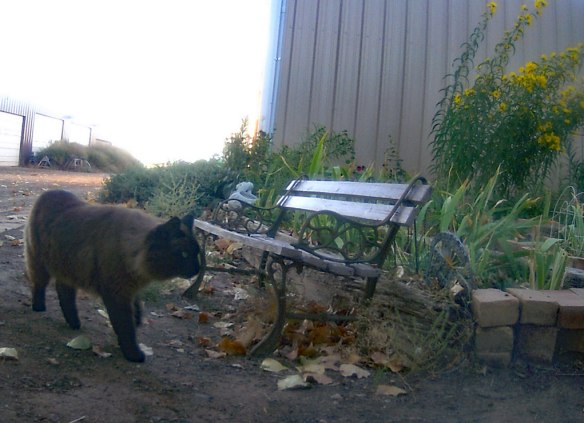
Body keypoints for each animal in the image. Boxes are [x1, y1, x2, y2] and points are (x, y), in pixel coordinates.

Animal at [25, 189, 200, 362]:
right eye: (184, 254)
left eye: (196, 253)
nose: (197, 269)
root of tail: (48, 193)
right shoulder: (117, 295)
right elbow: (126, 328)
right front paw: (134, 354)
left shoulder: (129, 290)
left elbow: (137, 308)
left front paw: (137, 320)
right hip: (41, 264)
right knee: (39, 285)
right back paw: (39, 307)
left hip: (68, 269)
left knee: (63, 292)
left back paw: (73, 322)